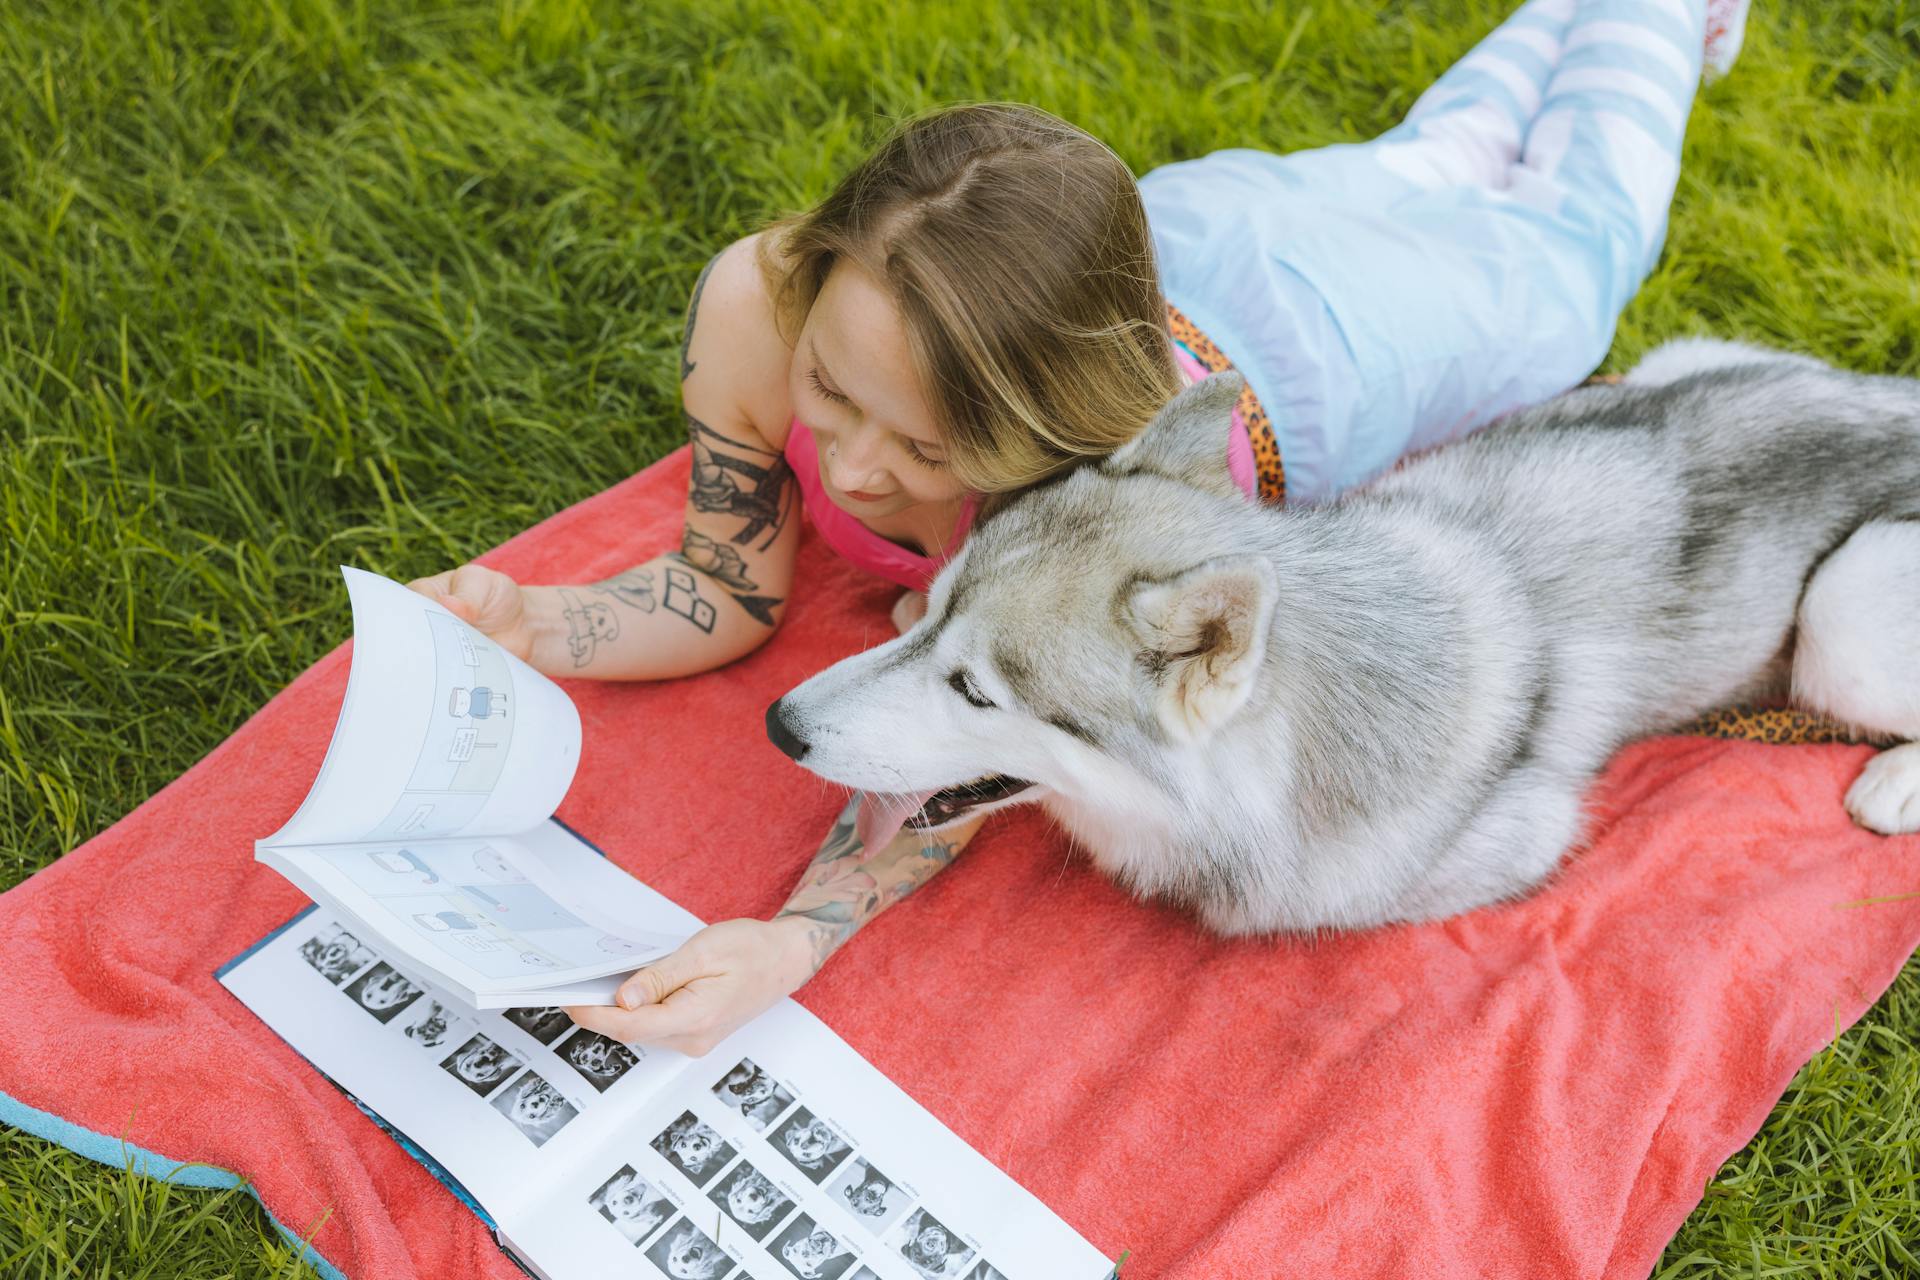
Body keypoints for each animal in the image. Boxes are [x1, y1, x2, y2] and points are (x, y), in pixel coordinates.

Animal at [764, 339, 1920, 936]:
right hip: (1656, 367)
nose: (779, 724)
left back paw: (1892, 783)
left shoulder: (1515, 845)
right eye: (940, 611)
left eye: (975, 691)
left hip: (1841, 613)